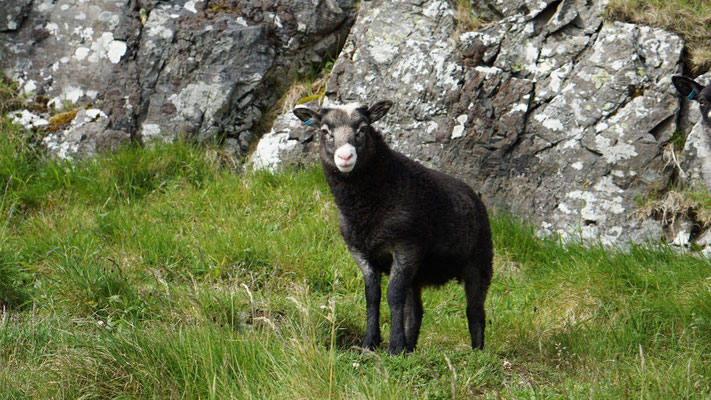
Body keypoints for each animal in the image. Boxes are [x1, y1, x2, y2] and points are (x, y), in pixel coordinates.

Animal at [292, 100, 492, 354]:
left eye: (363, 128)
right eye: (325, 131)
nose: (345, 156)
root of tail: (474, 196)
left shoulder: (407, 245)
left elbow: (393, 295)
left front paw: (395, 346)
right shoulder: (360, 252)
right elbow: (373, 296)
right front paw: (370, 343)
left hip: (480, 260)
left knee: (475, 311)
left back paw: (477, 352)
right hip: (419, 271)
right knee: (416, 311)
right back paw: (410, 349)